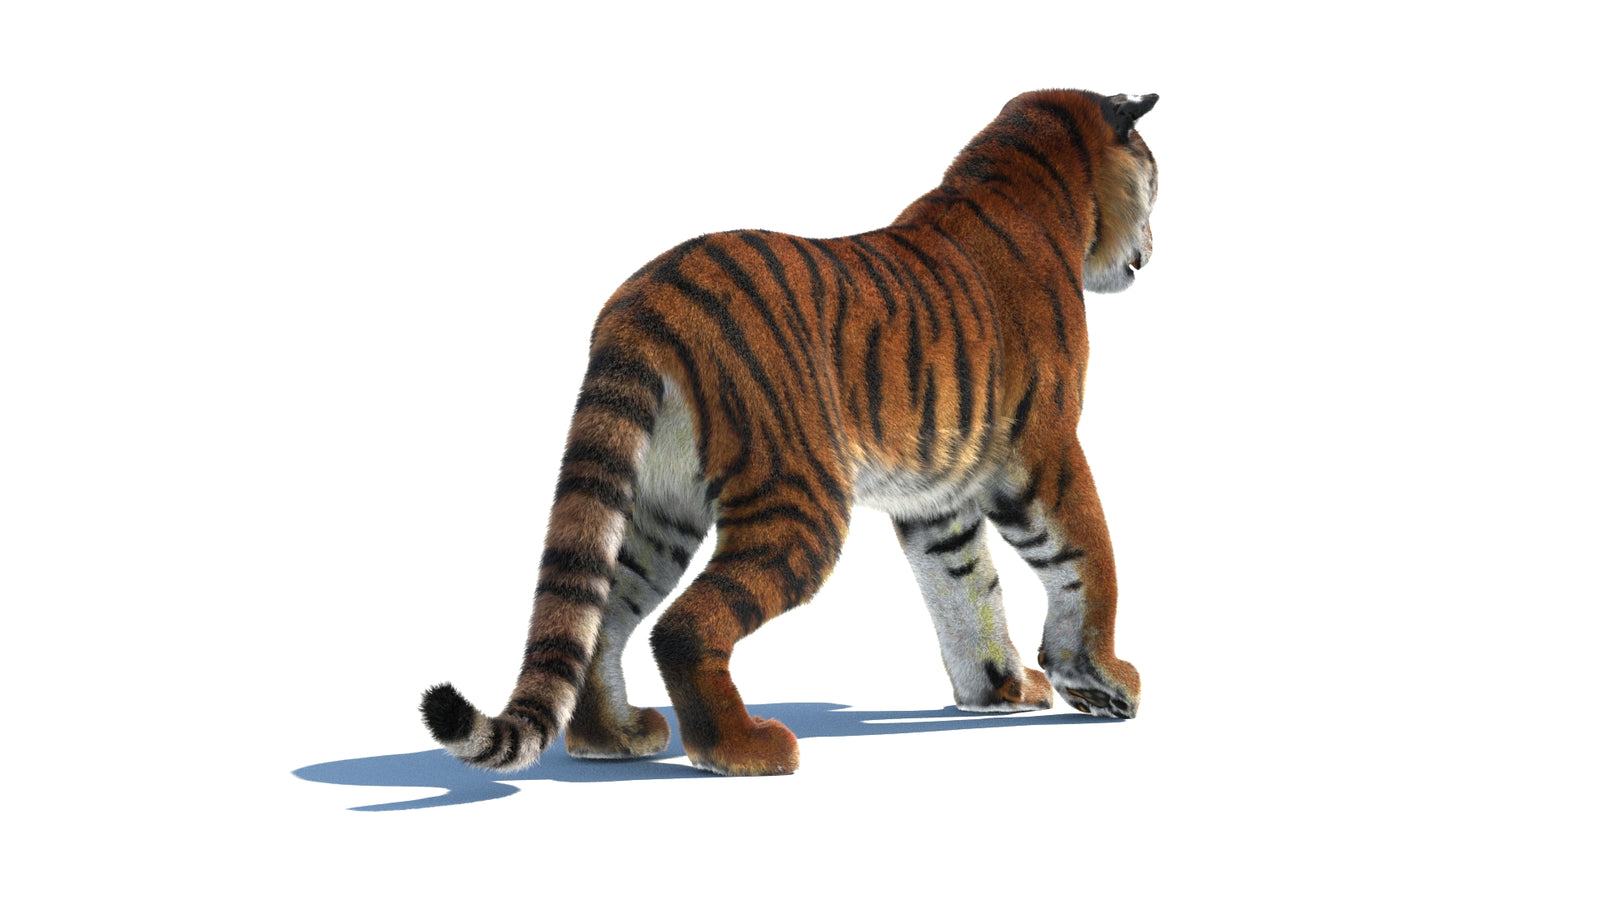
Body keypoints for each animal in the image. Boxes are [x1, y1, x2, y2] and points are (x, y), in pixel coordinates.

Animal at [421, 88, 1160, 776]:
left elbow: (967, 586)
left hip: (658, 508)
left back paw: (614, 737)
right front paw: (1103, 679)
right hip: (799, 496)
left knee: (600, 614)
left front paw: (998, 689)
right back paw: (743, 749)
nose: (1151, 253)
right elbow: (1089, 556)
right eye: (1154, 179)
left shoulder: (939, 497)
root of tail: (649, 298)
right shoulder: (1045, 448)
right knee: (683, 626)